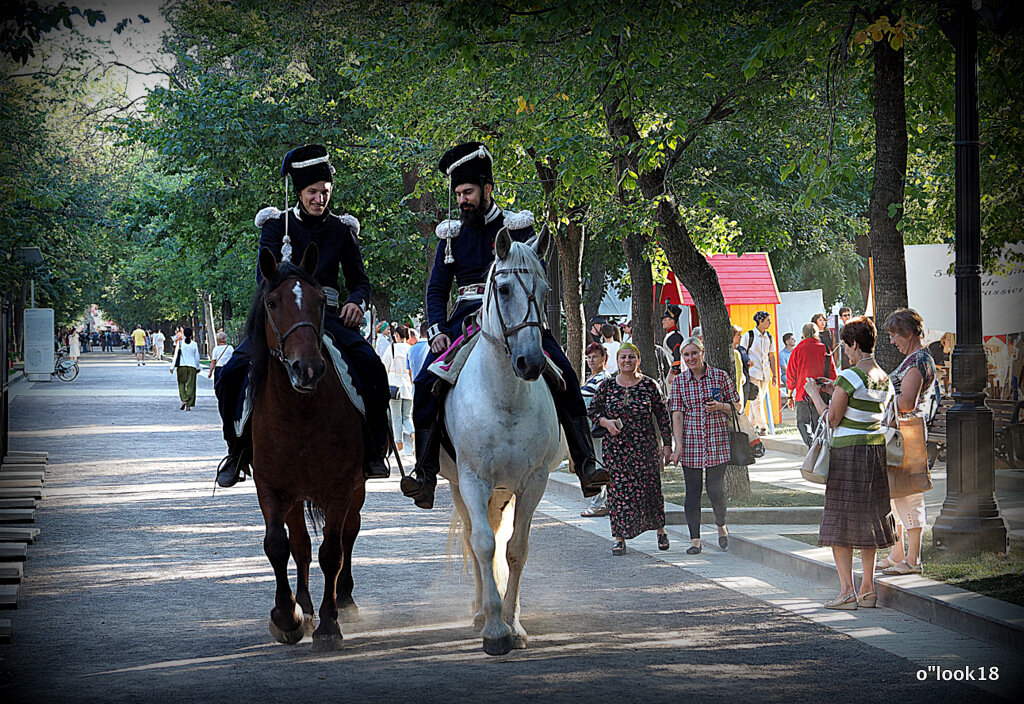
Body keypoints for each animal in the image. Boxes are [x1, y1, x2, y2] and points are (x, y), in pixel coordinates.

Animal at [247, 244, 364, 650]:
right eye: (272, 302)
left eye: (319, 301)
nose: (307, 369)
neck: (299, 415)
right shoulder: (270, 487)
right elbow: (277, 545)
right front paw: (288, 616)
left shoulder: (341, 487)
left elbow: (333, 552)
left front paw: (329, 625)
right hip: (295, 497)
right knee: (299, 544)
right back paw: (306, 606)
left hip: (354, 490)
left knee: (348, 535)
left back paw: (343, 600)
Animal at [440, 225, 569, 654]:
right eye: (505, 288)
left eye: (545, 290)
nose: (531, 362)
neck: (505, 399)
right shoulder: (472, 479)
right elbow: (482, 544)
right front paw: (494, 629)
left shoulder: (533, 482)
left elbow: (516, 549)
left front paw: (513, 623)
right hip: (460, 487)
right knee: (472, 536)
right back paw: (481, 611)